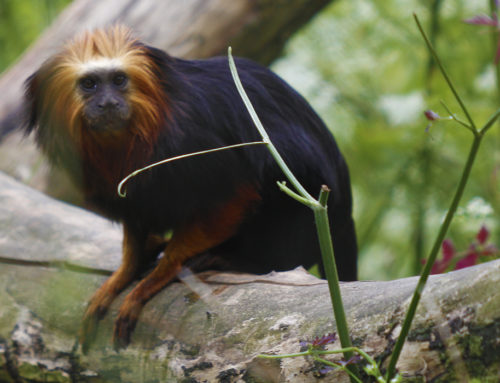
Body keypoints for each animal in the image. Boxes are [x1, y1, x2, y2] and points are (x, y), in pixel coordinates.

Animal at [23, 25, 358, 352]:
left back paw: (236, 259)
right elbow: (136, 221)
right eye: (90, 84)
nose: (107, 103)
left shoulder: (194, 143)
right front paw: (126, 272)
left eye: (118, 81)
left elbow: (234, 197)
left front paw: (158, 276)